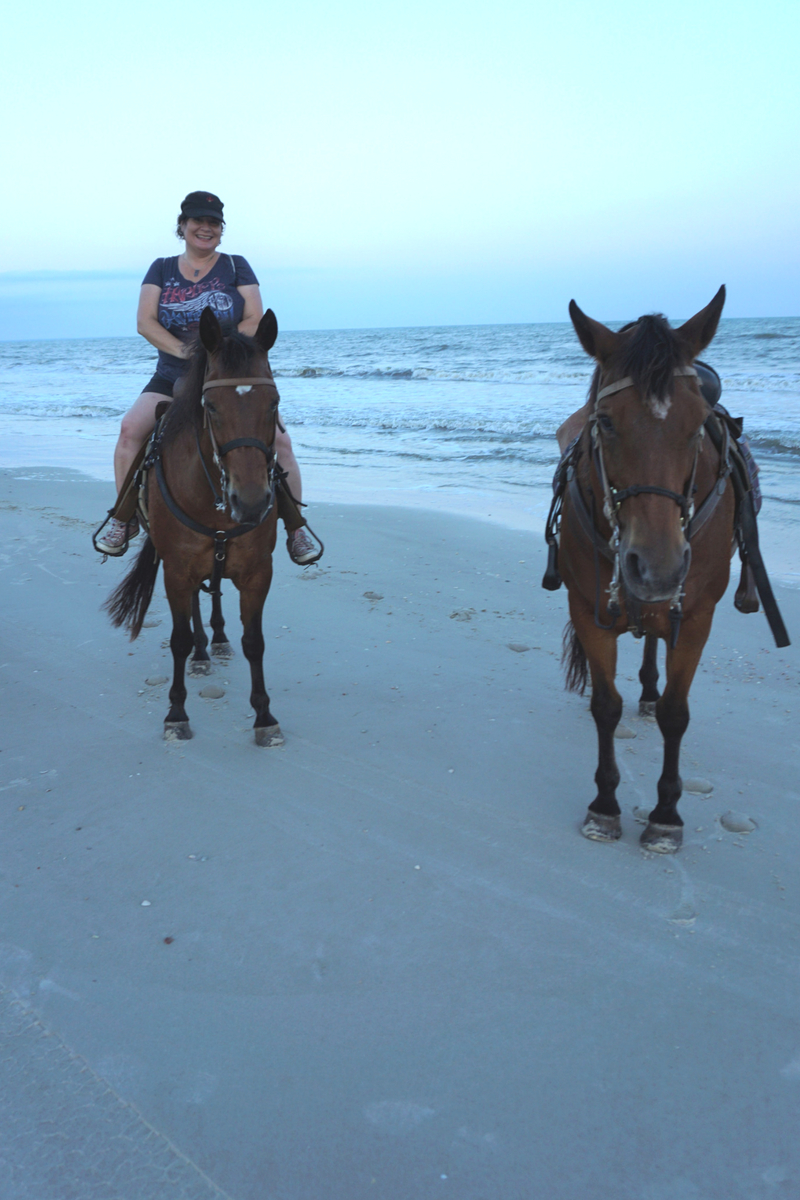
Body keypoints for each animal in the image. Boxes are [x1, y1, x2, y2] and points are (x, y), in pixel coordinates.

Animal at [103, 304, 284, 744]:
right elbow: (180, 639)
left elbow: (254, 642)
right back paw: (203, 650)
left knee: (213, 596)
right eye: (212, 406)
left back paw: (216, 640)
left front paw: (264, 716)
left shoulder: (258, 571)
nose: (251, 502)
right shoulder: (177, 570)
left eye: (273, 402)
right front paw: (176, 713)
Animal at [554, 288, 753, 854]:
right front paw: (604, 806)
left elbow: (675, 712)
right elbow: (605, 706)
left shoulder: (698, 615)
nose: (658, 566)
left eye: (698, 420)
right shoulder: (588, 610)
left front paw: (666, 815)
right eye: (605, 421)